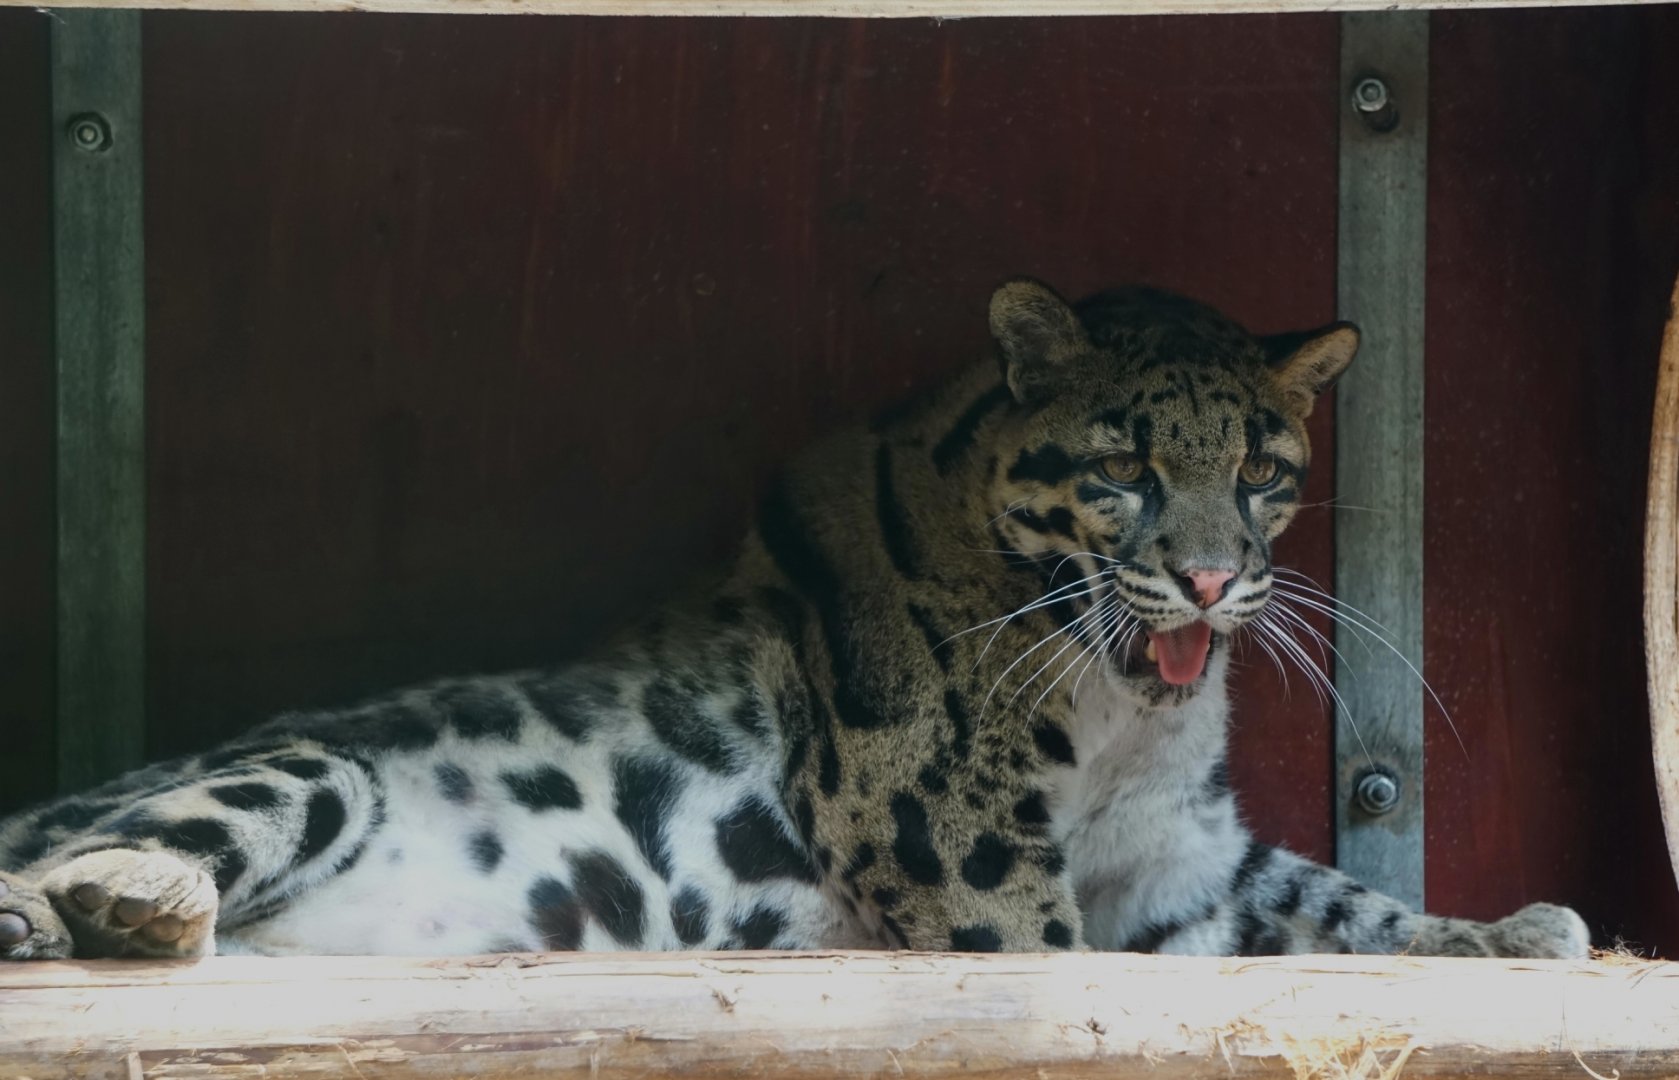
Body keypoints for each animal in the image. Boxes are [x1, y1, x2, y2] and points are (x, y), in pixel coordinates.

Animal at [0, 279, 1588, 962]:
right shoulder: (951, 842)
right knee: (83, 857)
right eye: (1124, 469)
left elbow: (1325, 899)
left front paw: (1497, 935)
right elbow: (1041, 951)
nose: (1206, 580)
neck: (1124, 706)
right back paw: (103, 901)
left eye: (1260, 473)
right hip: (308, 767)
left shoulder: (1178, 862)